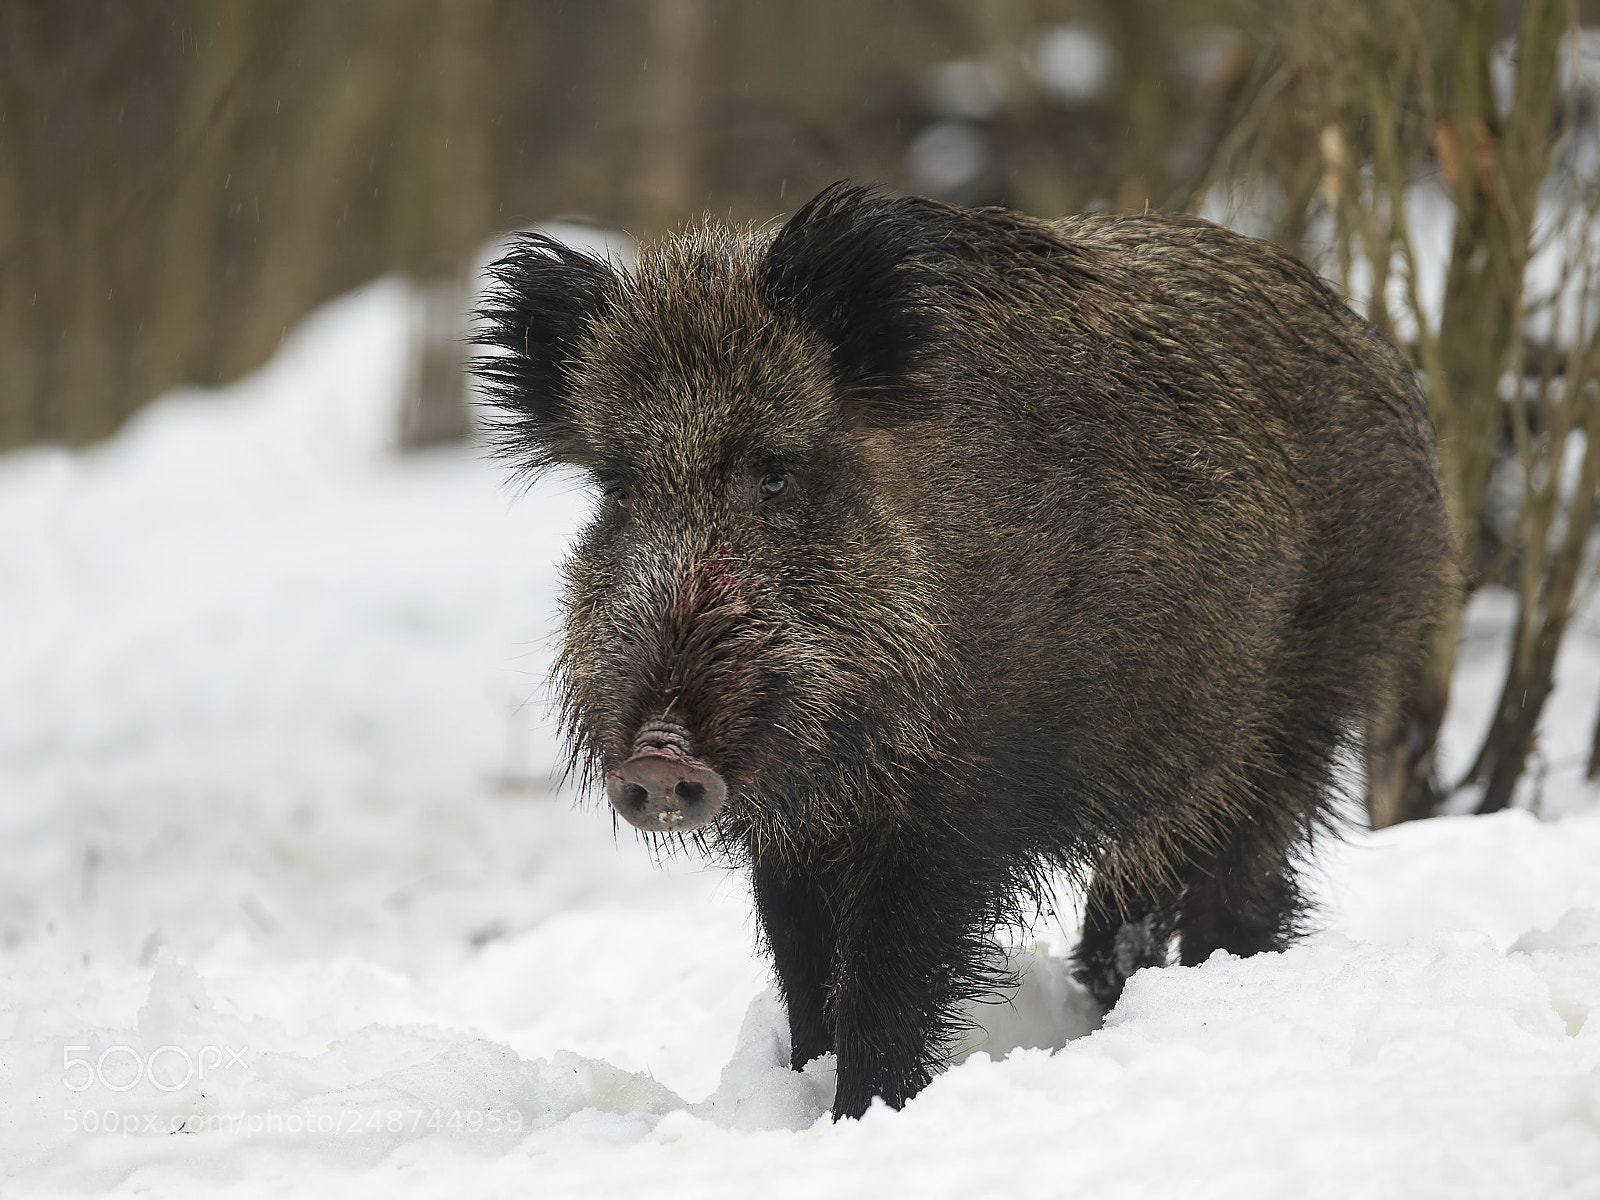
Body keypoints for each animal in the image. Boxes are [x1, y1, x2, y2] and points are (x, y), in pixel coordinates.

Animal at [472, 183, 1453, 1119]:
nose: (660, 756)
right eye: (618, 492)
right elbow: (803, 971)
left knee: (1246, 873)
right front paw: (807, 1090)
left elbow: (890, 976)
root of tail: (1374, 348)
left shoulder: (964, 804)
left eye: (777, 476)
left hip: (1311, 688)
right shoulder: (796, 834)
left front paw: (864, 1114)